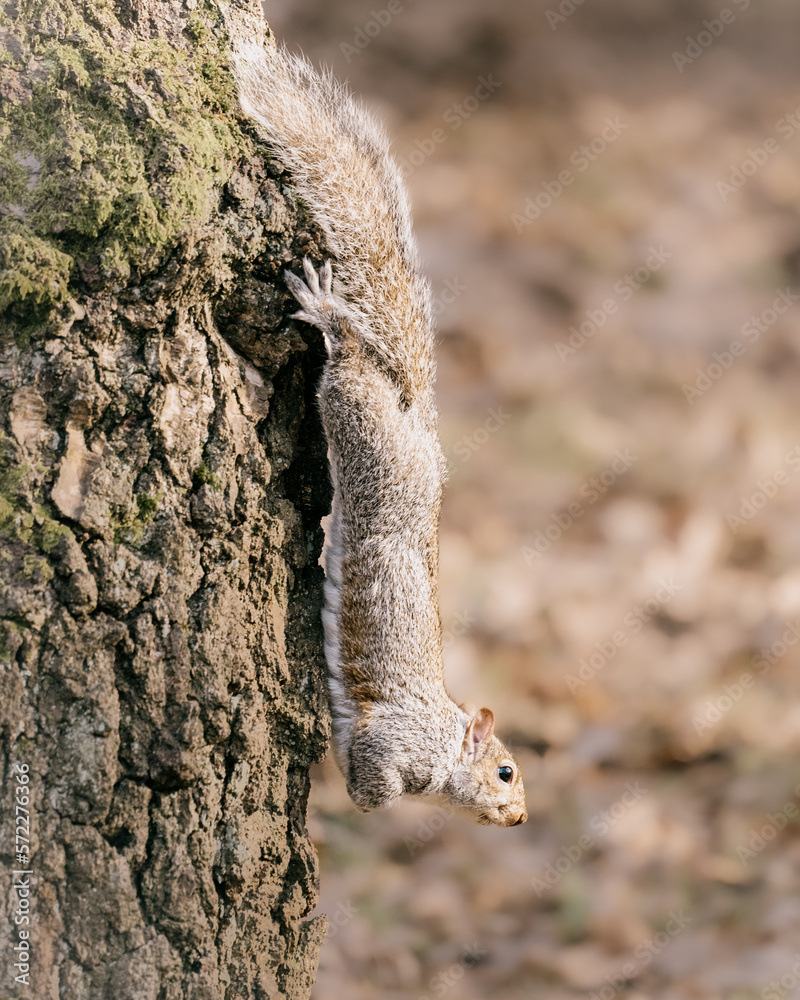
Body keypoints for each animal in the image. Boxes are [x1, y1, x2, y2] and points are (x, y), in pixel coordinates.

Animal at [232, 39, 527, 827]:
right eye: (507, 771)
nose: (521, 816)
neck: (444, 735)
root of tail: (416, 419)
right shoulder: (395, 739)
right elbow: (376, 784)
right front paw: (347, 780)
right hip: (361, 423)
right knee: (350, 363)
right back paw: (330, 314)